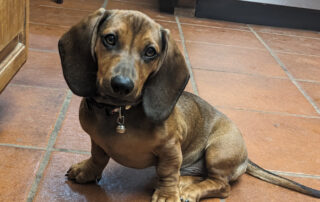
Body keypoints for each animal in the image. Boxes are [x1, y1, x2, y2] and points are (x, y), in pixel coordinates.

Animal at [58, 8, 320, 202]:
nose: (122, 85)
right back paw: (184, 183)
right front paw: (87, 171)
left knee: (221, 185)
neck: (120, 113)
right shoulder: (97, 141)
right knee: (198, 176)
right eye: (110, 38)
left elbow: (167, 173)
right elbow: (98, 157)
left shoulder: (171, 148)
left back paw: (188, 190)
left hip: (217, 151)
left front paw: (167, 195)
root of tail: (246, 157)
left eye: (150, 51)